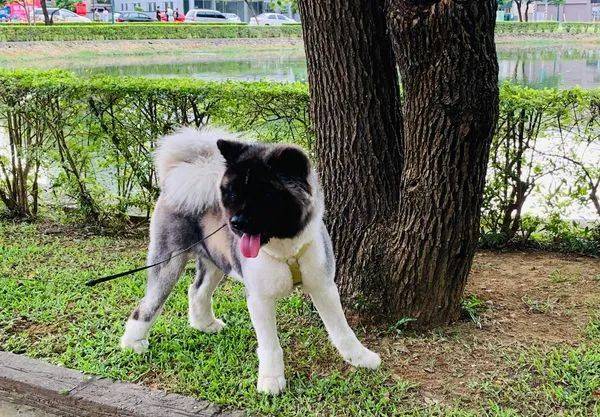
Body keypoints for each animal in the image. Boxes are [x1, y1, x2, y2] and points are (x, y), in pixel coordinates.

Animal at [120, 128, 381, 394]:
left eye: (264, 195)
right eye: (234, 194)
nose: (235, 223)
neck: (285, 247)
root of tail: (182, 176)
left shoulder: (323, 287)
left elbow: (342, 329)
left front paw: (360, 357)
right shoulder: (260, 298)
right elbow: (270, 345)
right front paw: (271, 379)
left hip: (215, 263)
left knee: (197, 291)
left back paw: (205, 324)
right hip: (168, 263)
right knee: (148, 305)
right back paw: (133, 342)